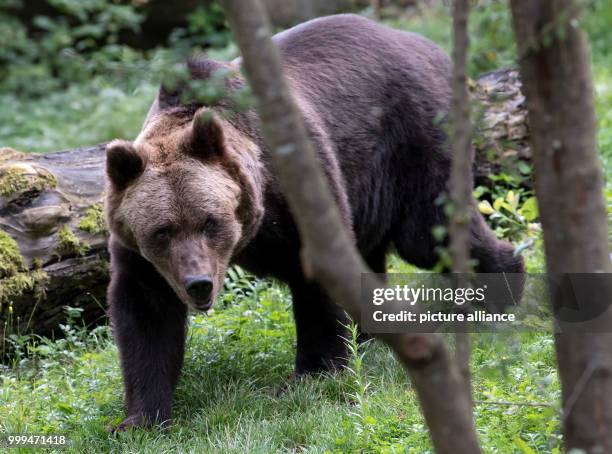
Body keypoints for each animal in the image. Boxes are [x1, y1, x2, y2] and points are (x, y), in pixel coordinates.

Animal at [104, 14, 520, 430]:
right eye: (163, 231)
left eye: (210, 222)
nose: (199, 284)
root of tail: (427, 46)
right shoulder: (139, 254)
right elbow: (145, 313)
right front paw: (139, 418)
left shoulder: (299, 192)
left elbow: (318, 282)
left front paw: (312, 373)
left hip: (413, 142)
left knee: (431, 231)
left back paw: (504, 290)